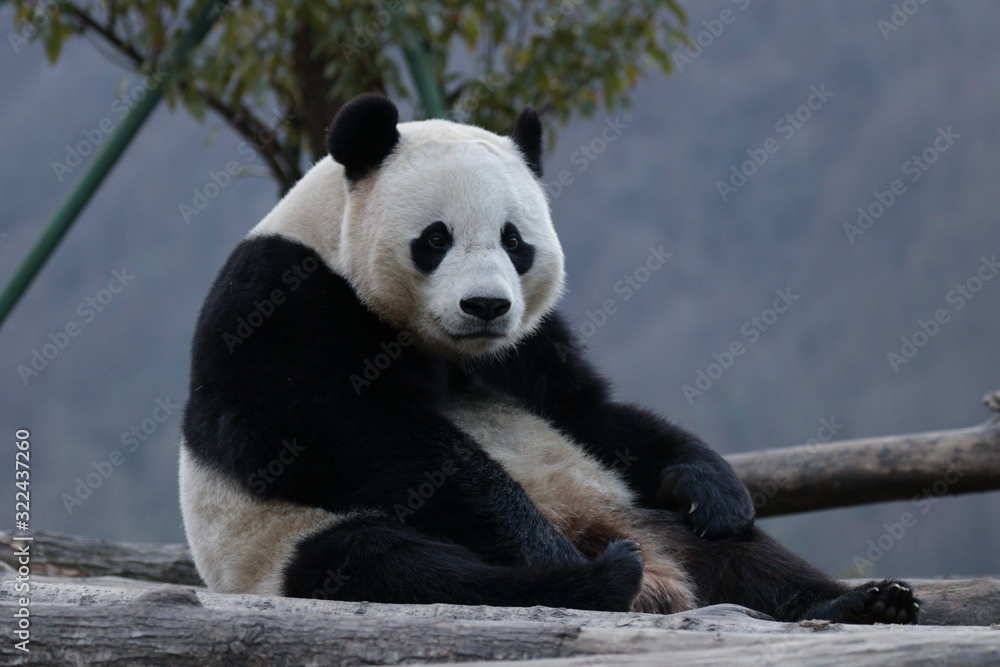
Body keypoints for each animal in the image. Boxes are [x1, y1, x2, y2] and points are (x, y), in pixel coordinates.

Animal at [180, 94, 918, 623]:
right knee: (393, 563)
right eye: (435, 239)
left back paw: (860, 602)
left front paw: (712, 486)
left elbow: (587, 409)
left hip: (630, 505)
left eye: (515, 240)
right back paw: (593, 579)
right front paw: (534, 542)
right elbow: (334, 429)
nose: (485, 306)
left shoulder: (526, 346)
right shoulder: (281, 299)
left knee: (744, 555)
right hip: (282, 544)